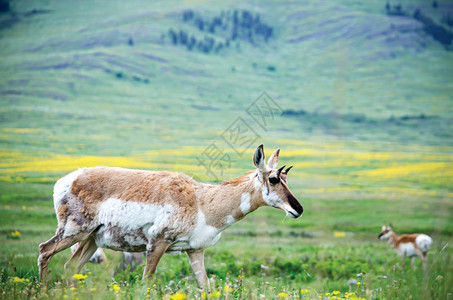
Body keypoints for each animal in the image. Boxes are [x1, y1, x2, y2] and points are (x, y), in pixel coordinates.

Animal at [37, 144, 302, 290]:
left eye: (286, 178)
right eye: (273, 179)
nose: (298, 209)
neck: (201, 200)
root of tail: (69, 179)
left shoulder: (195, 251)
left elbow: (205, 286)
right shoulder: (157, 244)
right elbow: (146, 282)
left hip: (91, 240)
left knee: (70, 267)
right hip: (74, 232)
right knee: (44, 250)